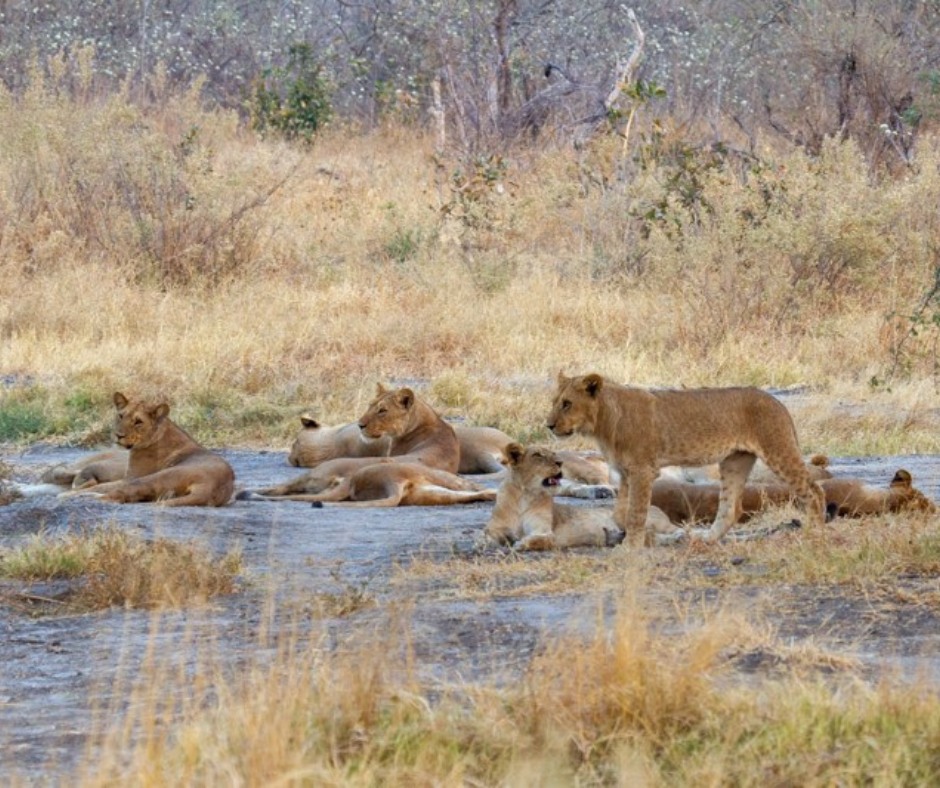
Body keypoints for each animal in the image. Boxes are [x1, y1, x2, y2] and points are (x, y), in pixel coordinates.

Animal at [62, 392, 235, 507]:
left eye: (138, 422)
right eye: (121, 416)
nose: (118, 435)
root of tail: (211, 486)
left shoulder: (130, 477)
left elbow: (102, 485)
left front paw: (68, 492)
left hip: (154, 477)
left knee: (117, 495)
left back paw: (81, 496)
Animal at [484, 443, 684, 551]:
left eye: (553, 454)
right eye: (538, 455)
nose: (560, 462)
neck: (525, 494)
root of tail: (656, 508)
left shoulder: (545, 531)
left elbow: (539, 539)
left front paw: (521, 543)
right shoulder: (494, 528)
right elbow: (485, 537)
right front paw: (489, 544)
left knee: (675, 530)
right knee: (651, 537)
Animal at [547, 372, 825, 544]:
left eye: (567, 404)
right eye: (554, 402)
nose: (548, 425)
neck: (603, 423)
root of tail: (777, 401)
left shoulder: (643, 470)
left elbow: (636, 512)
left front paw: (629, 548)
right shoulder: (625, 472)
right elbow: (620, 513)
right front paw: (629, 534)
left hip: (777, 450)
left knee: (814, 491)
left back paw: (813, 532)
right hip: (735, 461)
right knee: (730, 508)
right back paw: (707, 539)